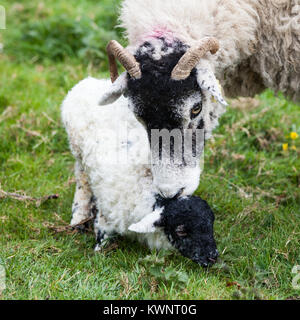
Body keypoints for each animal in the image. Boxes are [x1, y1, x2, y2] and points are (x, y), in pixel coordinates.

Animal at [61, 77, 218, 268]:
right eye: (181, 231)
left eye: (211, 224)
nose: (213, 257)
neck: (147, 191)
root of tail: (88, 82)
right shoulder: (106, 212)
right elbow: (102, 232)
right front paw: (98, 251)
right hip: (77, 150)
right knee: (82, 180)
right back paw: (78, 217)